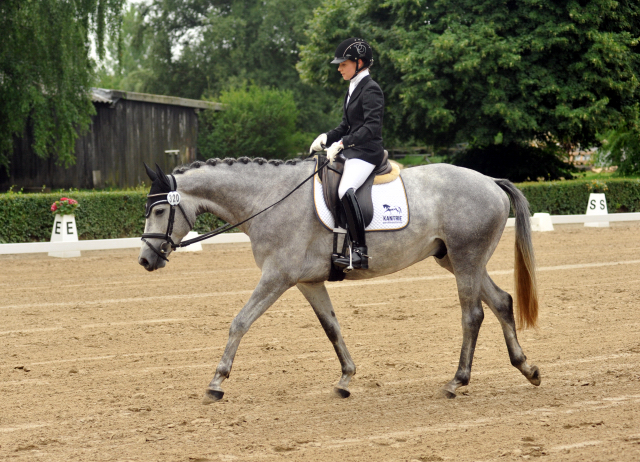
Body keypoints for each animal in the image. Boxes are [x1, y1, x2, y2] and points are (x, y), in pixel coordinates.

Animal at [140, 157, 540, 402]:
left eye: (159, 210)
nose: (145, 260)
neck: (269, 199)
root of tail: (490, 181)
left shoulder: (277, 276)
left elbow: (240, 322)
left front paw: (217, 381)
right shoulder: (307, 282)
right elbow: (331, 327)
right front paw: (346, 379)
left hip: (466, 259)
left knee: (473, 315)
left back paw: (457, 381)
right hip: (457, 262)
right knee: (502, 302)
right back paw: (527, 368)